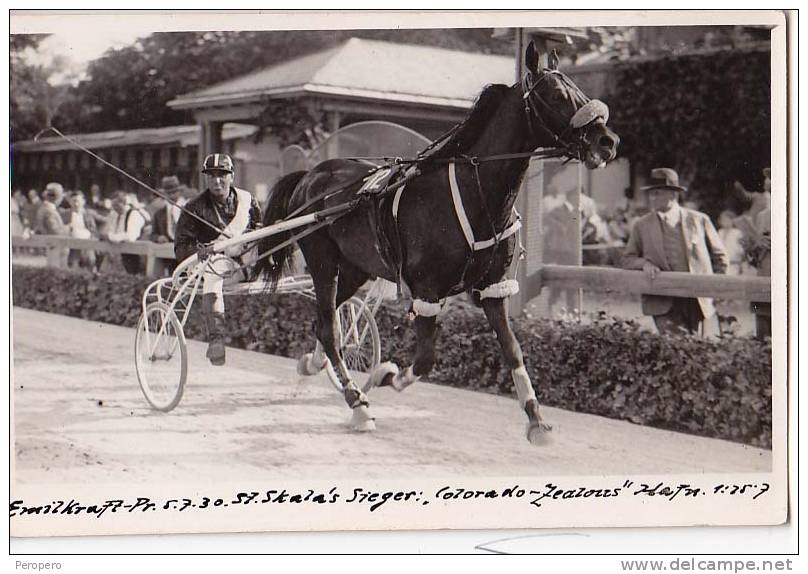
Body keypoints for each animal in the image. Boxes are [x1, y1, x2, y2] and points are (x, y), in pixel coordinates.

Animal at [258, 42, 620, 444]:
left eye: (577, 89)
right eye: (556, 95)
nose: (607, 141)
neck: (474, 193)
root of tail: (311, 174)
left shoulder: (493, 286)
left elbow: (513, 349)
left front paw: (536, 419)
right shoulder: (427, 290)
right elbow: (425, 359)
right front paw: (384, 374)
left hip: (354, 268)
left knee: (325, 321)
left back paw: (316, 363)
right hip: (323, 261)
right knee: (329, 328)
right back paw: (357, 404)